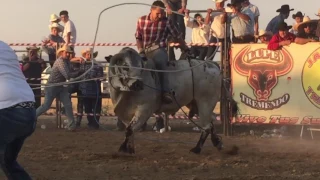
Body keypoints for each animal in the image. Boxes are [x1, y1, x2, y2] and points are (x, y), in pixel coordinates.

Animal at [105, 47, 238, 154]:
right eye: (125, 67)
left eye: (141, 67)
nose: (138, 84)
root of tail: (213, 66)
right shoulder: (125, 113)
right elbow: (130, 130)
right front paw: (130, 149)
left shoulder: (144, 109)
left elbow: (130, 129)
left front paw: (123, 148)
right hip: (196, 104)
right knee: (211, 123)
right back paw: (217, 143)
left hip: (206, 102)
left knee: (207, 126)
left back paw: (197, 149)